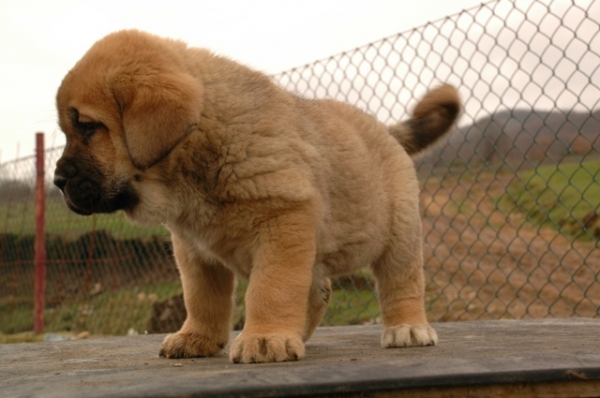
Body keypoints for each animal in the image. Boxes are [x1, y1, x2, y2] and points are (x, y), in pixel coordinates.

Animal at [55, 28, 460, 364]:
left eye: (88, 127)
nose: (57, 180)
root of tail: (384, 130)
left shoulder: (281, 223)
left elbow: (271, 289)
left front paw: (265, 339)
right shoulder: (194, 250)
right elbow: (202, 298)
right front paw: (197, 338)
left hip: (400, 231)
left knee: (401, 280)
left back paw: (407, 327)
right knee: (319, 290)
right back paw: (298, 333)